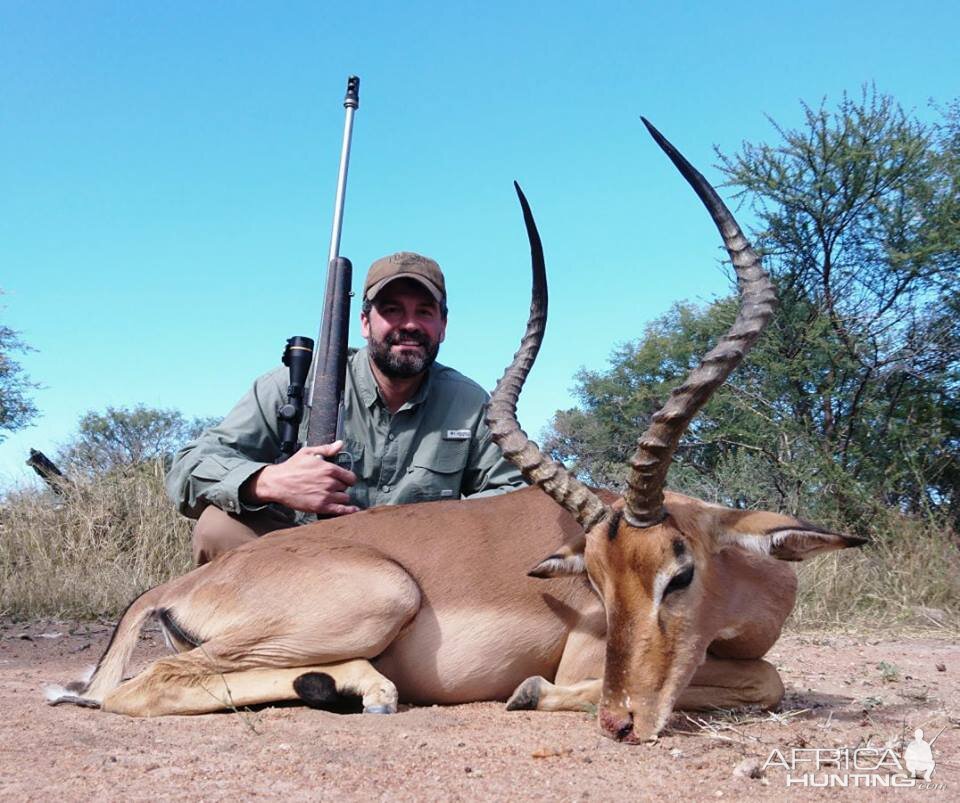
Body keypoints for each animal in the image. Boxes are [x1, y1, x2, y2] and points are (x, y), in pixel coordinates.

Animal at [48, 122, 868, 744]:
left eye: (681, 573)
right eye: (599, 585)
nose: (621, 721)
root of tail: (179, 583)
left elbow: (768, 675)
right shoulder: (589, 659)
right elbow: (766, 679)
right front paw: (531, 693)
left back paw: (349, 686)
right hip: (379, 595)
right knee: (147, 684)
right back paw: (366, 688)